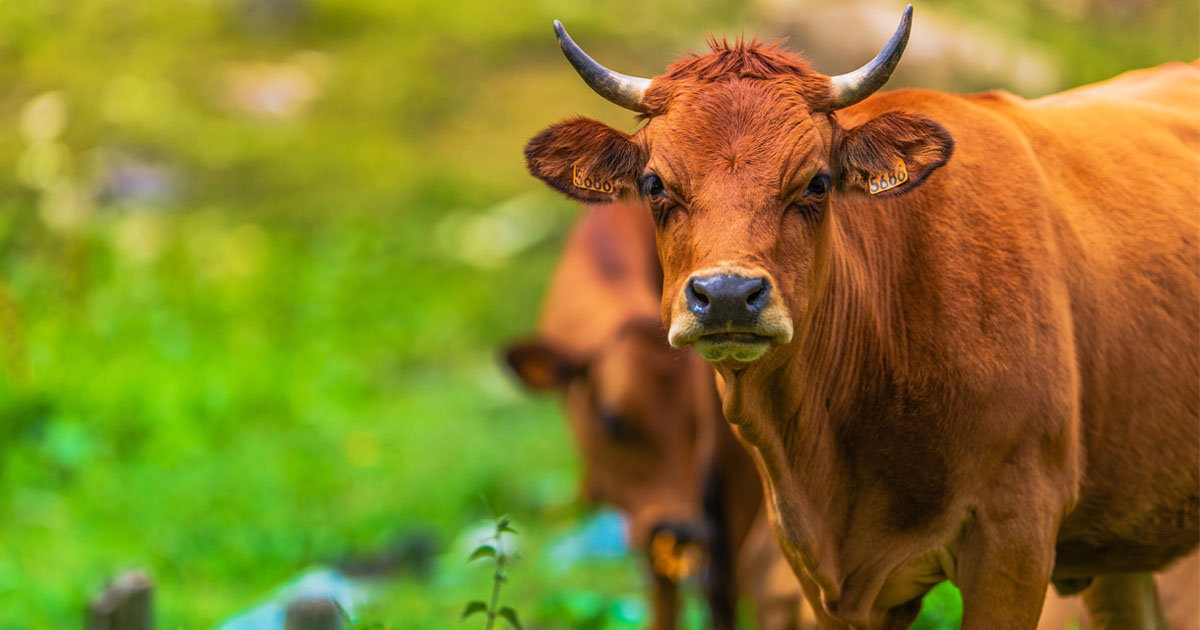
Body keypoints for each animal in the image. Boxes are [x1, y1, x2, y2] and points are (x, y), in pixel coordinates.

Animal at [501, 202, 811, 628]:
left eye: (701, 422)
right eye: (612, 421)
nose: (679, 528)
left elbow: (724, 585)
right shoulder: (644, 507)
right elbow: (663, 587)